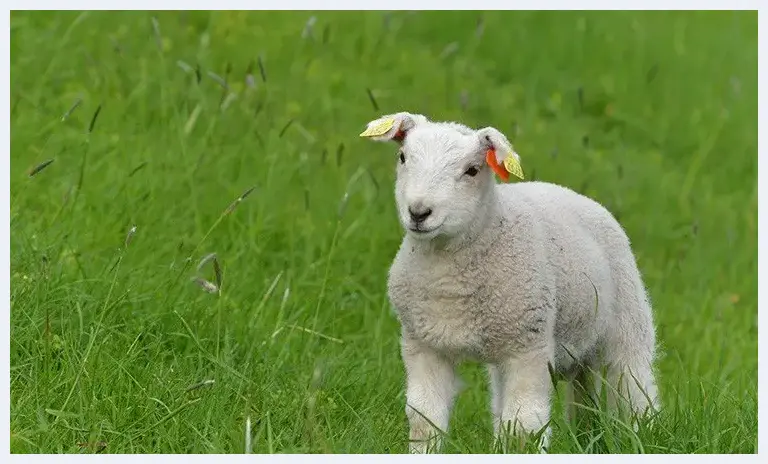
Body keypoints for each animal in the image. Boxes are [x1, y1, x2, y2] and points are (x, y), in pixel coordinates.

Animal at [360, 111, 660, 454]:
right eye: (403, 157)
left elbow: (523, 429)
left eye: (472, 170)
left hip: (626, 318)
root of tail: (570, 191)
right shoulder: (424, 345)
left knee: (633, 383)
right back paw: (586, 436)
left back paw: (642, 434)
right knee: (582, 393)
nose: (419, 212)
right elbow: (425, 419)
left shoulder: (528, 348)